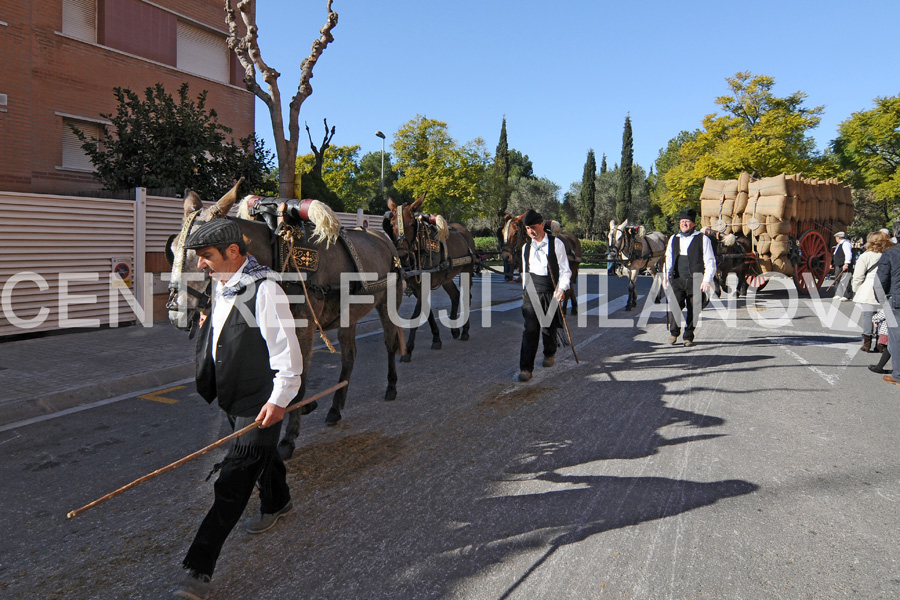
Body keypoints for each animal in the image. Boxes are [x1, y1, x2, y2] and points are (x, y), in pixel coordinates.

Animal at [167, 183, 406, 460]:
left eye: (203, 256)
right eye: (172, 248)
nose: (175, 310)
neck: (278, 258)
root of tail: (385, 241)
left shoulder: (303, 328)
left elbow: (297, 379)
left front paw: (289, 436)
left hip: (388, 305)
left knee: (389, 344)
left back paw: (391, 386)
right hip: (348, 317)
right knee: (349, 357)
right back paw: (335, 408)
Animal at [384, 193, 478, 360]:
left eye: (411, 224)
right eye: (393, 223)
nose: (402, 255)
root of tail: (465, 231)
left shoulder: (424, 286)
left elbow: (416, 314)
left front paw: (408, 349)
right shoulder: (417, 288)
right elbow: (427, 312)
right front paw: (436, 339)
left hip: (467, 271)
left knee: (467, 296)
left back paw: (465, 331)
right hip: (447, 278)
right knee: (455, 295)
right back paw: (454, 329)